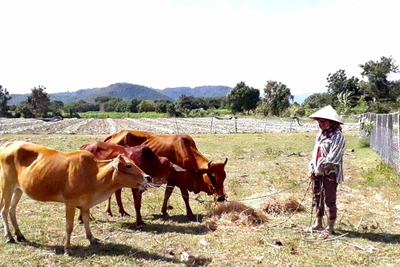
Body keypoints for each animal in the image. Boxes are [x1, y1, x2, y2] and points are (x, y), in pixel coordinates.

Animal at [0, 141, 152, 256]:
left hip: (18, 189)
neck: (93, 175)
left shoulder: (85, 204)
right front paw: (67, 249)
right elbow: (69, 227)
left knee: (12, 210)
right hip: (7, 185)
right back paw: (10, 237)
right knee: (4, 210)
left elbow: (86, 221)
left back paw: (19, 235)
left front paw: (92, 238)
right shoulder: (70, 203)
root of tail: (8, 144)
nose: (148, 177)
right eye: (128, 165)